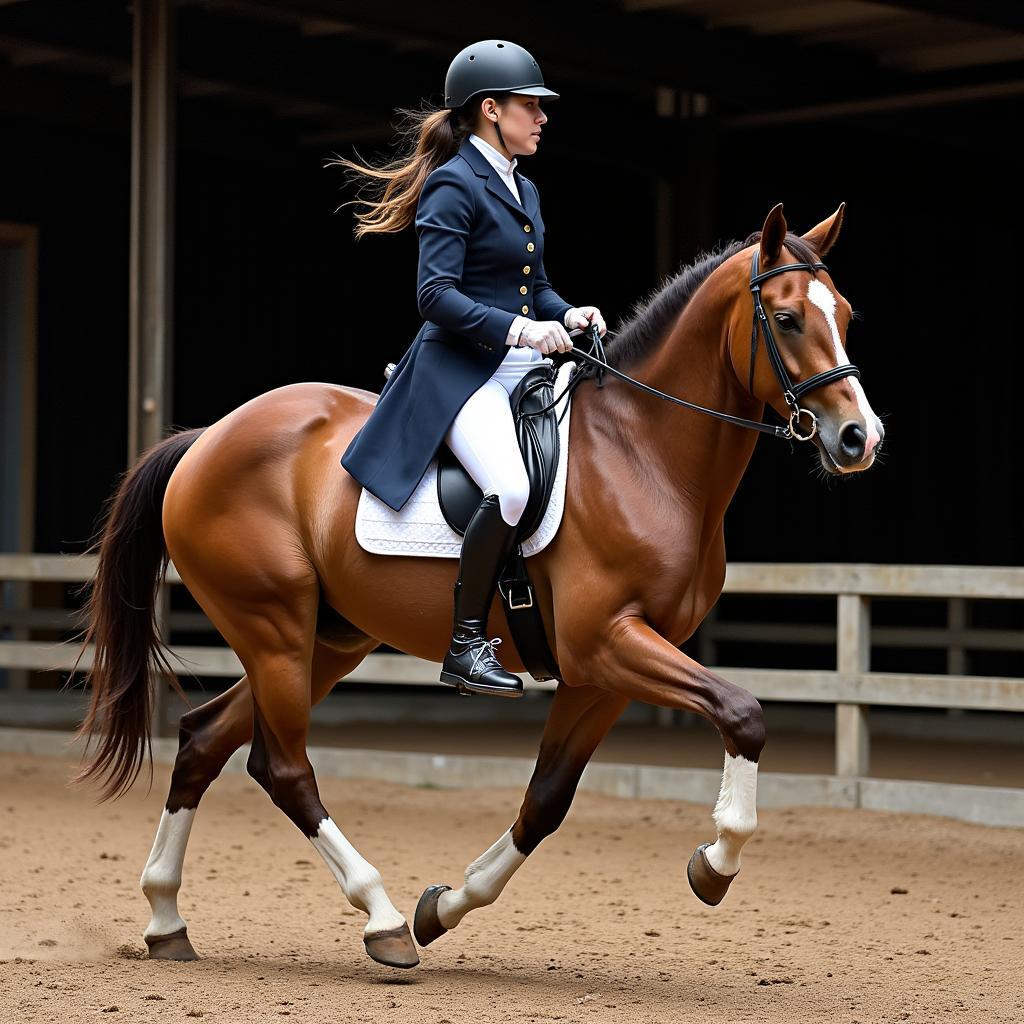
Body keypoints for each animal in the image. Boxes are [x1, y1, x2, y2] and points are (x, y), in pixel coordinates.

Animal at [72, 201, 884, 966]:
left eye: (846, 316)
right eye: (787, 318)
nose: (860, 439)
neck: (642, 452)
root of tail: (204, 440)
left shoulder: (601, 676)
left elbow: (547, 800)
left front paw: (447, 905)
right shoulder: (606, 643)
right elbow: (742, 713)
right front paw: (715, 865)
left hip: (325, 642)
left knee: (204, 739)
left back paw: (167, 920)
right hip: (274, 632)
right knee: (282, 768)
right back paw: (381, 919)